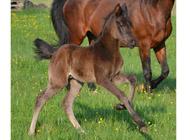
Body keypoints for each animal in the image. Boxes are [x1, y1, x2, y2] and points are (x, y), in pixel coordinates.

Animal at [28, 3, 147, 135]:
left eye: (130, 24)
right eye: (120, 24)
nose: (133, 42)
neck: (107, 51)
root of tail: (55, 53)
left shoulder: (114, 77)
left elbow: (132, 79)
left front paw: (121, 107)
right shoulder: (102, 79)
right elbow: (121, 94)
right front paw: (140, 123)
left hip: (76, 83)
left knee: (66, 103)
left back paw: (81, 130)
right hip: (58, 82)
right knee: (40, 98)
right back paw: (31, 131)